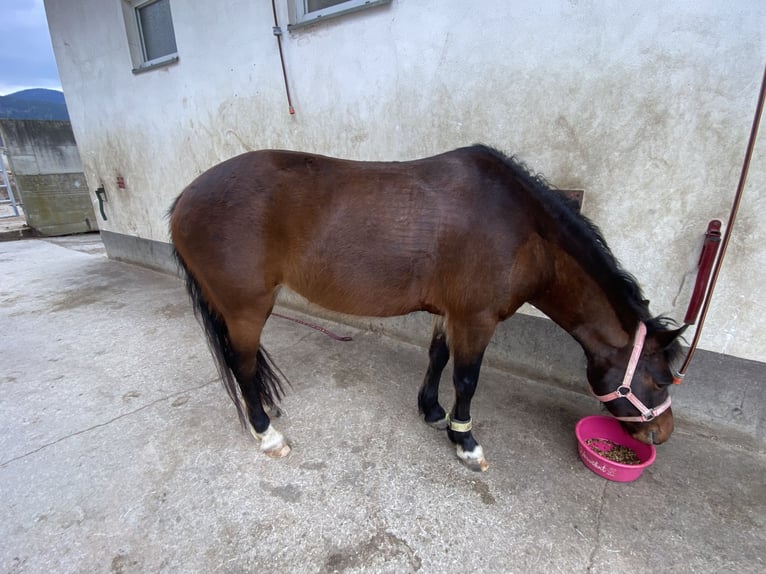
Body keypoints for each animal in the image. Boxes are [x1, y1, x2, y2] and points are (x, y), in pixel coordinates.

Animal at [169, 144, 684, 472]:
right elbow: (467, 378)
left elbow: (438, 357)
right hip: (246, 309)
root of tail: (182, 202)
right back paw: (266, 433)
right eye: (660, 380)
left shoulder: (451, 313)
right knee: (243, 365)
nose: (662, 434)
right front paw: (465, 440)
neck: (522, 230)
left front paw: (433, 411)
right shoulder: (477, 320)